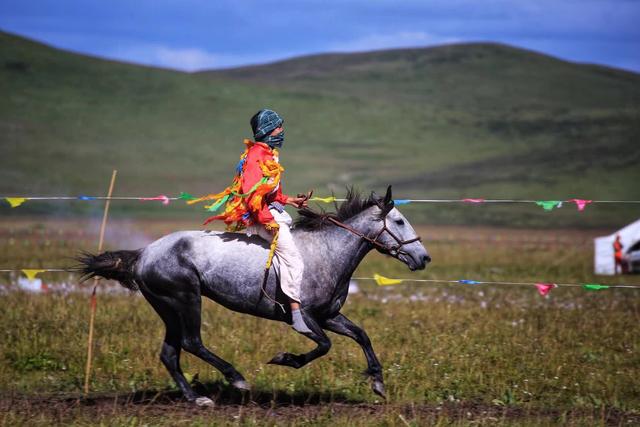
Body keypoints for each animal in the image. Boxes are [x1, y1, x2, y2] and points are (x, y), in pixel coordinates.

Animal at [80, 187, 430, 408]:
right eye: (399, 221)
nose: (423, 257)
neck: (327, 252)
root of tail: (144, 253)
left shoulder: (329, 315)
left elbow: (361, 335)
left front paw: (377, 382)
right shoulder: (304, 317)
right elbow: (324, 346)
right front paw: (286, 359)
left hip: (168, 309)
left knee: (170, 353)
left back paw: (196, 398)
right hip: (186, 299)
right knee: (192, 342)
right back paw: (236, 379)